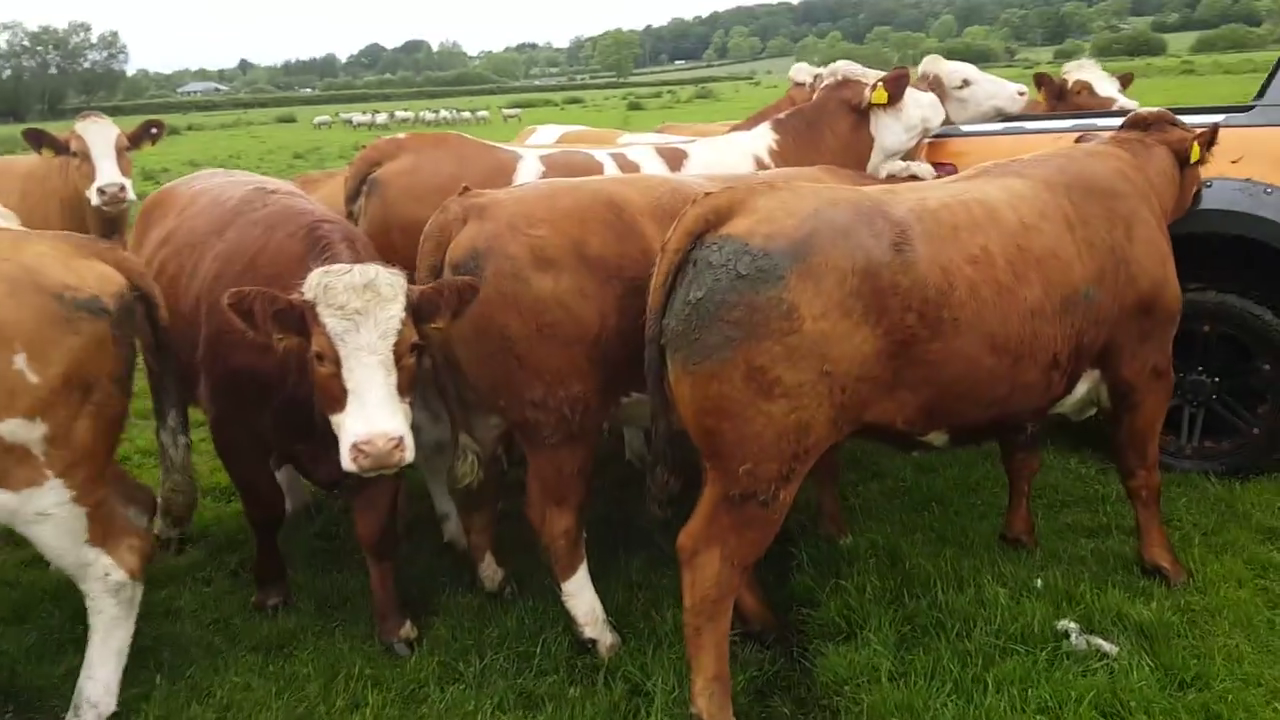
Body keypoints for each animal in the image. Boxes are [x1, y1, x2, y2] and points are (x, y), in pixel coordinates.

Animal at [128, 168, 481, 655]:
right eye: (318, 355)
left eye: (412, 347)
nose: (377, 448)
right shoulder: (235, 432)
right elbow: (263, 508)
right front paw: (272, 588)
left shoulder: (387, 433)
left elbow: (377, 531)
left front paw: (393, 624)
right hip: (160, 362)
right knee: (171, 434)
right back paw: (173, 518)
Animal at [409, 166, 938, 658]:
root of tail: (473, 204)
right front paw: (838, 534)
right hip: (559, 425)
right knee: (555, 520)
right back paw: (598, 631)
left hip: (484, 418)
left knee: (479, 488)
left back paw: (492, 575)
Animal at [642, 108, 1215, 719]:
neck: (1123, 170)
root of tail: (736, 201)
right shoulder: (1146, 366)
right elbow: (1141, 474)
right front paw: (1163, 564)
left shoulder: (1028, 380)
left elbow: (1022, 462)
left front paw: (1019, 536)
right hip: (762, 466)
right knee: (707, 560)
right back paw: (715, 699)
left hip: (730, 466)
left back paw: (768, 626)